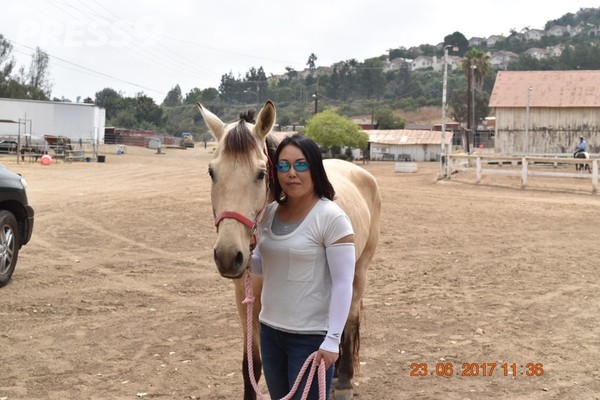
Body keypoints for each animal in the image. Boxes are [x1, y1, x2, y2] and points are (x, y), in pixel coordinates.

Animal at [199, 98, 382, 398]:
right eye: (212, 172)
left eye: (261, 174)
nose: (228, 255)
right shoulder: (244, 298)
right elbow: (251, 365)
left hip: (359, 270)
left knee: (351, 317)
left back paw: (343, 380)